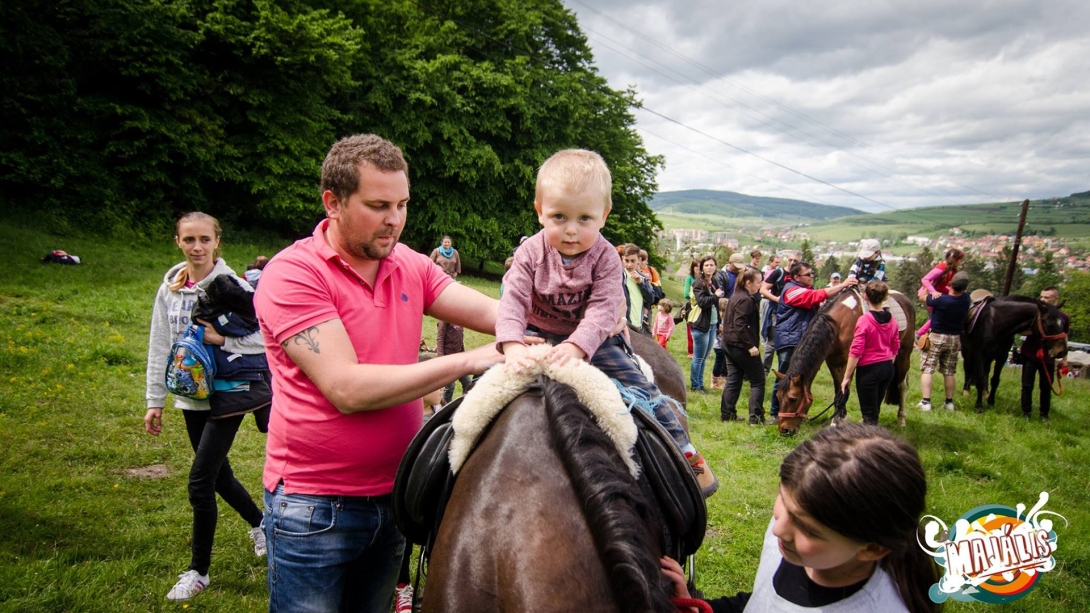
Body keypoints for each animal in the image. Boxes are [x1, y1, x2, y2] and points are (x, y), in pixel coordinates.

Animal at [771, 285, 915, 434]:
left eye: (793, 399)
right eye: (778, 396)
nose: (784, 430)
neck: (838, 324)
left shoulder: (848, 362)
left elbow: (843, 391)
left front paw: (835, 422)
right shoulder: (833, 362)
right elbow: (838, 390)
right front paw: (841, 418)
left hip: (904, 354)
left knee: (902, 386)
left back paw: (901, 419)